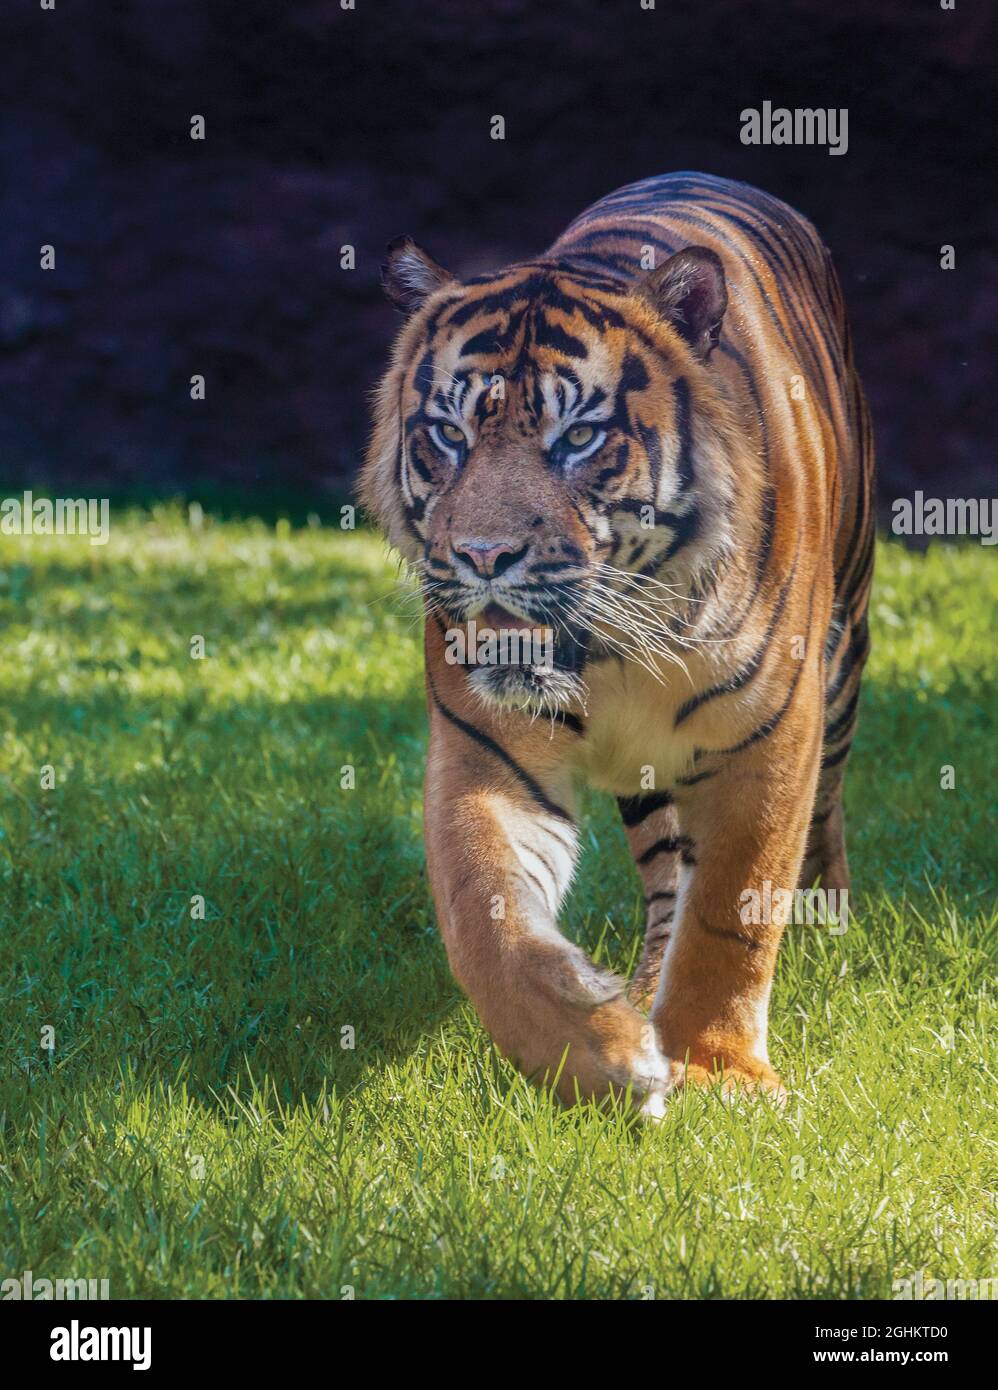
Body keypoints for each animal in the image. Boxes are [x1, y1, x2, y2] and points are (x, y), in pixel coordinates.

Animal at [361, 168, 878, 1112]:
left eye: (579, 437)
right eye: (449, 434)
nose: (483, 556)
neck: (612, 653)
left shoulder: (769, 737)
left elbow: (734, 903)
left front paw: (716, 1069)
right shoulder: (484, 747)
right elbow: (483, 909)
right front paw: (596, 1051)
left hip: (844, 656)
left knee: (819, 824)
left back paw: (826, 931)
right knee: (668, 882)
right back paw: (639, 996)